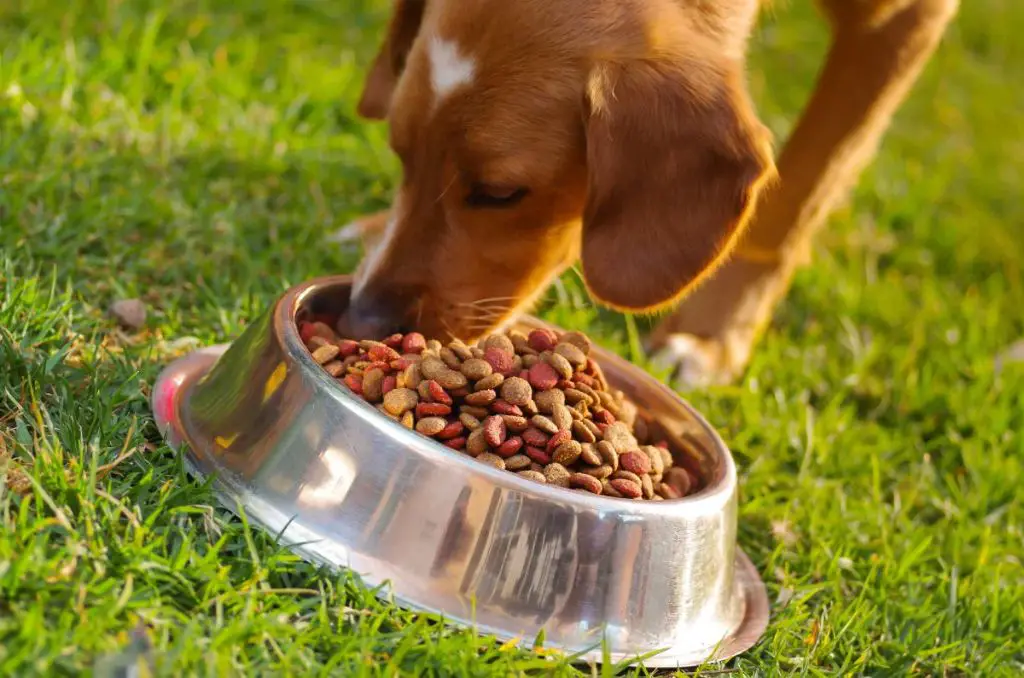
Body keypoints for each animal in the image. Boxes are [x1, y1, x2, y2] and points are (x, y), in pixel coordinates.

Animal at [337, 0, 958, 387]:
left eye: (499, 192)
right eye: (400, 154)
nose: (360, 323)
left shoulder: (902, 19)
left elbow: (797, 200)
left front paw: (710, 337)